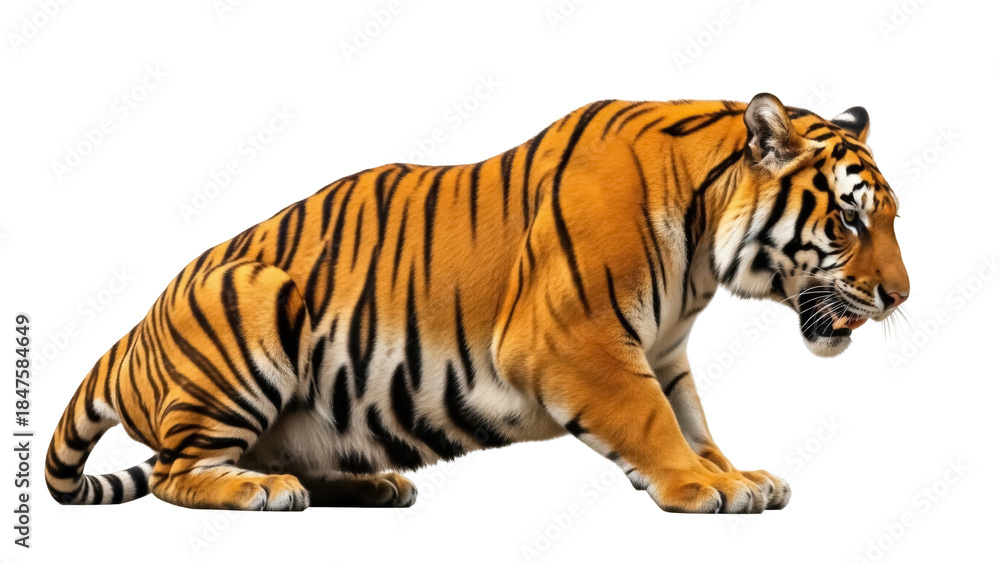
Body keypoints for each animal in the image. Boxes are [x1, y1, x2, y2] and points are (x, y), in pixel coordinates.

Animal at [46, 92, 908, 513]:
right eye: (849, 217)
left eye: (890, 216)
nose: (901, 295)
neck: (701, 246)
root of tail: (130, 336)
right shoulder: (576, 338)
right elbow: (652, 420)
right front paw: (708, 487)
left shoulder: (661, 349)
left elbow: (692, 420)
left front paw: (734, 471)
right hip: (254, 298)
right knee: (175, 470)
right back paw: (259, 492)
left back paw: (368, 485)